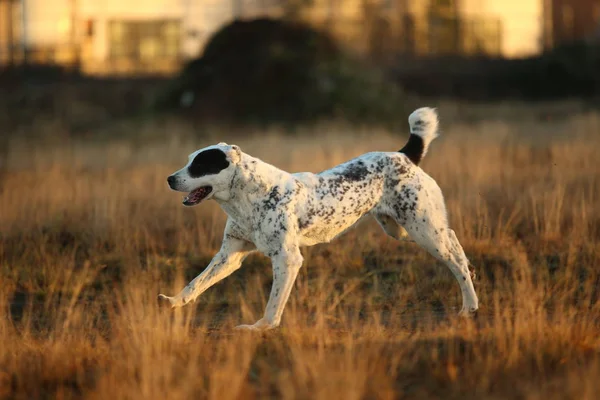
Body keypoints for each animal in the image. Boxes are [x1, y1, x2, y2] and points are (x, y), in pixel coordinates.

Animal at [158, 108, 478, 330]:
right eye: (189, 160)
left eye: (200, 165)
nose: (169, 179)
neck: (247, 199)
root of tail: (403, 156)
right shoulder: (229, 255)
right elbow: (196, 283)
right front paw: (173, 303)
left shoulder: (286, 258)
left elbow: (274, 302)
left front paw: (261, 328)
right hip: (402, 230)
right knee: (454, 241)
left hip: (423, 230)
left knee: (454, 258)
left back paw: (470, 306)